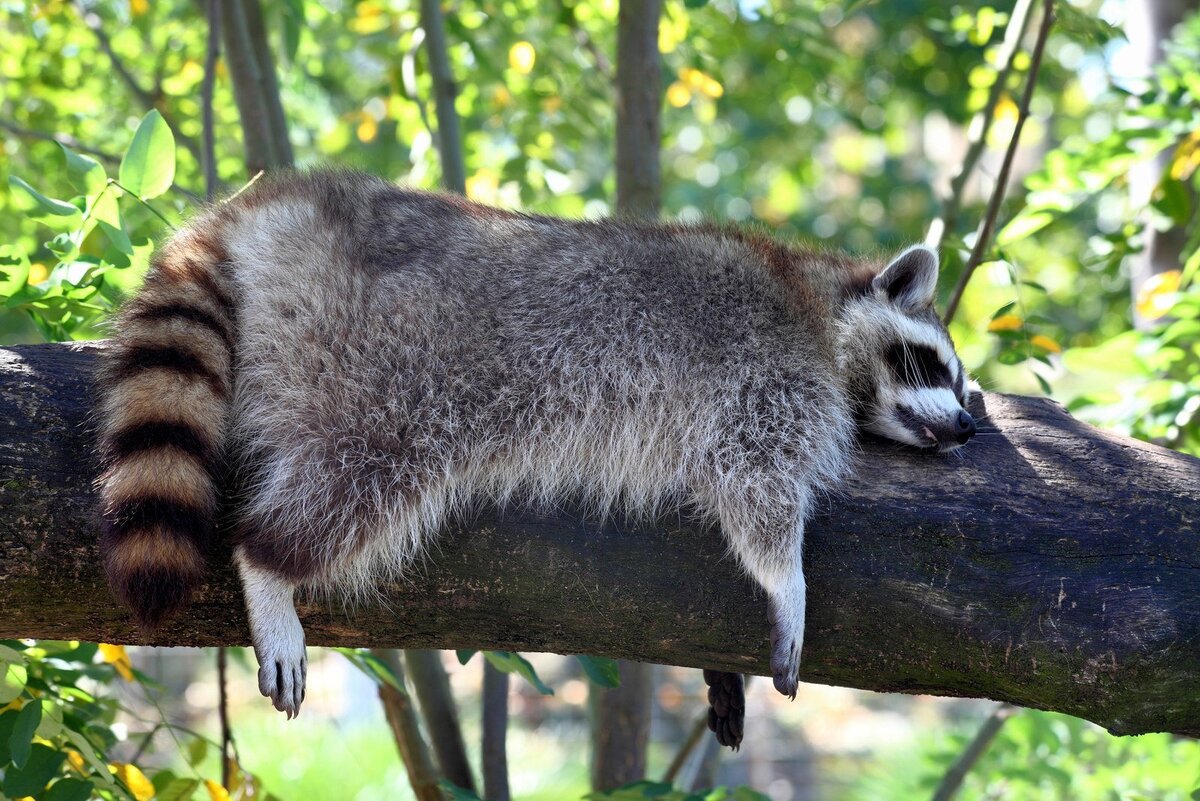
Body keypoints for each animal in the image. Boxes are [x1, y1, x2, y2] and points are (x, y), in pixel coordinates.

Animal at [93, 169, 974, 753]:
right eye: (933, 363)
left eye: (965, 383)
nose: (968, 425)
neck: (817, 299)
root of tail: (280, 202)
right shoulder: (768, 377)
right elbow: (758, 490)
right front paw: (788, 583)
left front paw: (725, 675)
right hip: (375, 367)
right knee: (359, 475)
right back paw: (269, 566)